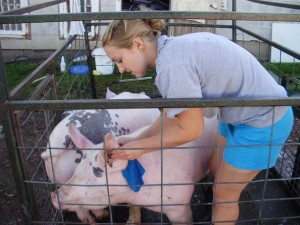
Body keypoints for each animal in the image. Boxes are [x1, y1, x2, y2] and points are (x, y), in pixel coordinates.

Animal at [50, 115, 217, 224]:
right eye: (76, 171)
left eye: (91, 178)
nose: (53, 195)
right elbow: (134, 209)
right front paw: (130, 222)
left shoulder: (180, 205)